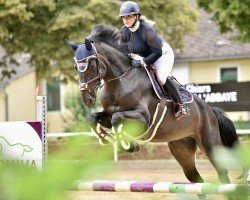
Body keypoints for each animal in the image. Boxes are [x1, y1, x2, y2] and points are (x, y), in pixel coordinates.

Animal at [66, 24, 238, 199]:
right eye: (76, 67)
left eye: (91, 64)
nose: (87, 100)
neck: (120, 81)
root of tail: (209, 110)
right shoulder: (107, 114)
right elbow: (93, 118)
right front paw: (106, 138)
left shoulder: (143, 119)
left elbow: (117, 118)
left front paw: (128, 145)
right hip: (182, 149)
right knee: (197, 181)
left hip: (210, 145)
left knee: (223, 177)